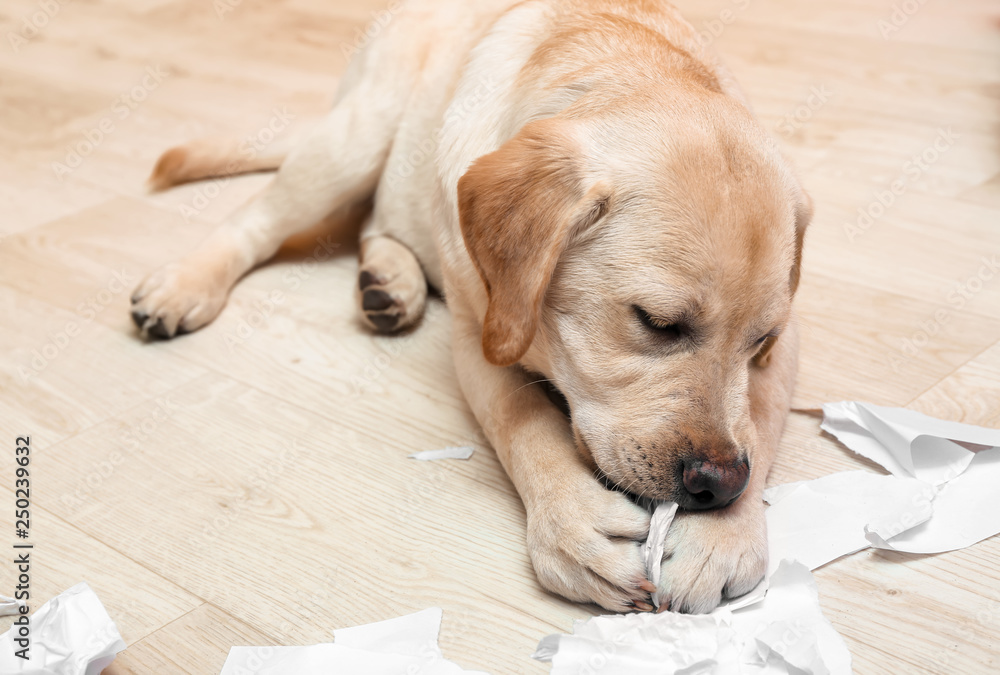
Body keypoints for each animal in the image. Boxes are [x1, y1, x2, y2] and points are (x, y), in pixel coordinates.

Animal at [127, 0, 812, 612]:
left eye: (760, 341)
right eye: (656, 323)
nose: (717, 486)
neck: (626, 62)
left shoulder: (786, 348)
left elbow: (758, 417)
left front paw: (723, 536)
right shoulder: (477, 330)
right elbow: (521, 418)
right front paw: (574, 523)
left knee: (374, 219)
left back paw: (390, 282)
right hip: (353, 139)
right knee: (259, 218)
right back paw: (186, 283)